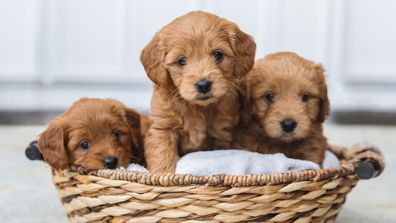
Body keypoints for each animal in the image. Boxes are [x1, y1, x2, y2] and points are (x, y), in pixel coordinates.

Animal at [141, 11, 255, 173]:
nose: (203, 85)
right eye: (181, 61)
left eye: (218, 54)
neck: (198, 108)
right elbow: (162, 153)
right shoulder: (162, 128)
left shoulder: (221, 134)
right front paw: (164, 173)